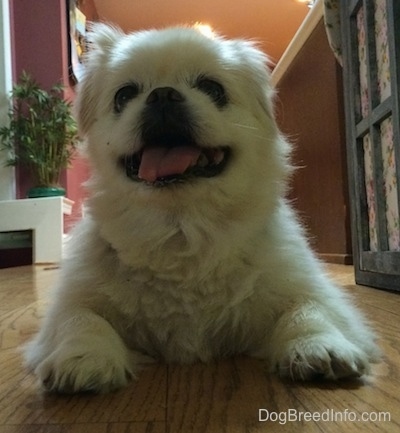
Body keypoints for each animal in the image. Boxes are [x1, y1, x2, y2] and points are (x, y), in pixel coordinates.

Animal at [23, 25, 380, 394]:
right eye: (124, 95)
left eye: (213, 89)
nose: (163, 95)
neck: (182, 229)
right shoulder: (73, 301)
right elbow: (81, 319)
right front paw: (83, 357)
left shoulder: (309, 289)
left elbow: (309, 310)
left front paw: (318, 346)